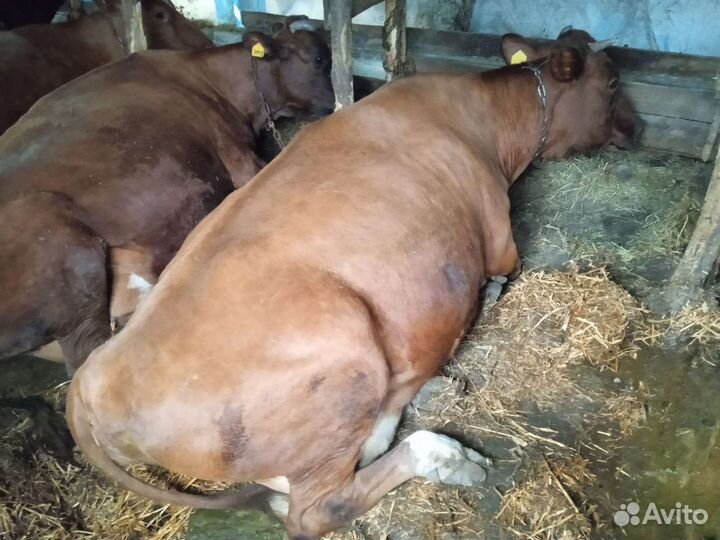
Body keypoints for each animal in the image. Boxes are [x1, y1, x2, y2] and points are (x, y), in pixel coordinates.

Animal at [66, 29, 638, 539]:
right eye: (612, 82)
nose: (637, 130)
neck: (485, 123)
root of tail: (91, 381)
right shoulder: (503, 240)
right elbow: (500, 276)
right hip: (349, 358)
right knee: (314, 509)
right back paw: (446, 454)